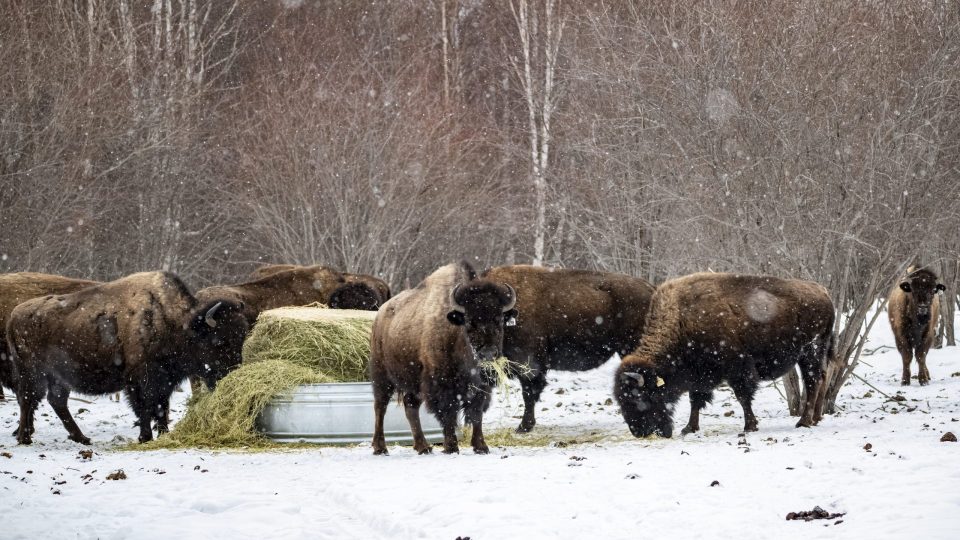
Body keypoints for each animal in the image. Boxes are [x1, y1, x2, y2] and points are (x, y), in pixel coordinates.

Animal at [7, 271, 248, 444]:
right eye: (219, 342)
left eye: (242, 338)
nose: (233, 374)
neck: (175, 323)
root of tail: (14, 316)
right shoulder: (140, 380)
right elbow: (145, 407)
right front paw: (145, 437)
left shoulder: (165, 382)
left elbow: (161, 407)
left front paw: (163, 433)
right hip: (33, 374)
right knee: (28, 400)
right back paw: (25, 438)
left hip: (58, 378)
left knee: (55, 401)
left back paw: (81, 438)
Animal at [370, 261, 517, 455]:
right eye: (469, 322)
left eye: (499, 320)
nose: (488, 354)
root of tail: (380, 315)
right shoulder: (441, 383)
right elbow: (449, 413)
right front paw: (451, 447)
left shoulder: (480, 386)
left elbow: (476, 412)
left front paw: (481, 446)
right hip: (382, 375)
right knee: (380, 407)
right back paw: (380, 447)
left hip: (413, 382)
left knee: (410, 407)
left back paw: (423, 447)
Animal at [480, 265, 654, 432]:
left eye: (498, 320)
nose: (486, 353)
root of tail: (649, 288)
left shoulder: (530, 366)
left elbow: (529, 394)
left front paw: (524, 427)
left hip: (630, 347)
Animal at [615, 273, 834, 438]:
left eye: (640, 397)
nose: (638, 432)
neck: (682, 321)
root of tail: (823, 291)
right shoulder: (699, 374)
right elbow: (696, 399)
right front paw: (689, 428)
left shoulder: (738, 368)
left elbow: (743, 396)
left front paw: (749, 426)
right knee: (821, 378)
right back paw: (815, 419)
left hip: (811, 352)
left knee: (813, 381)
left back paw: (804, 421)